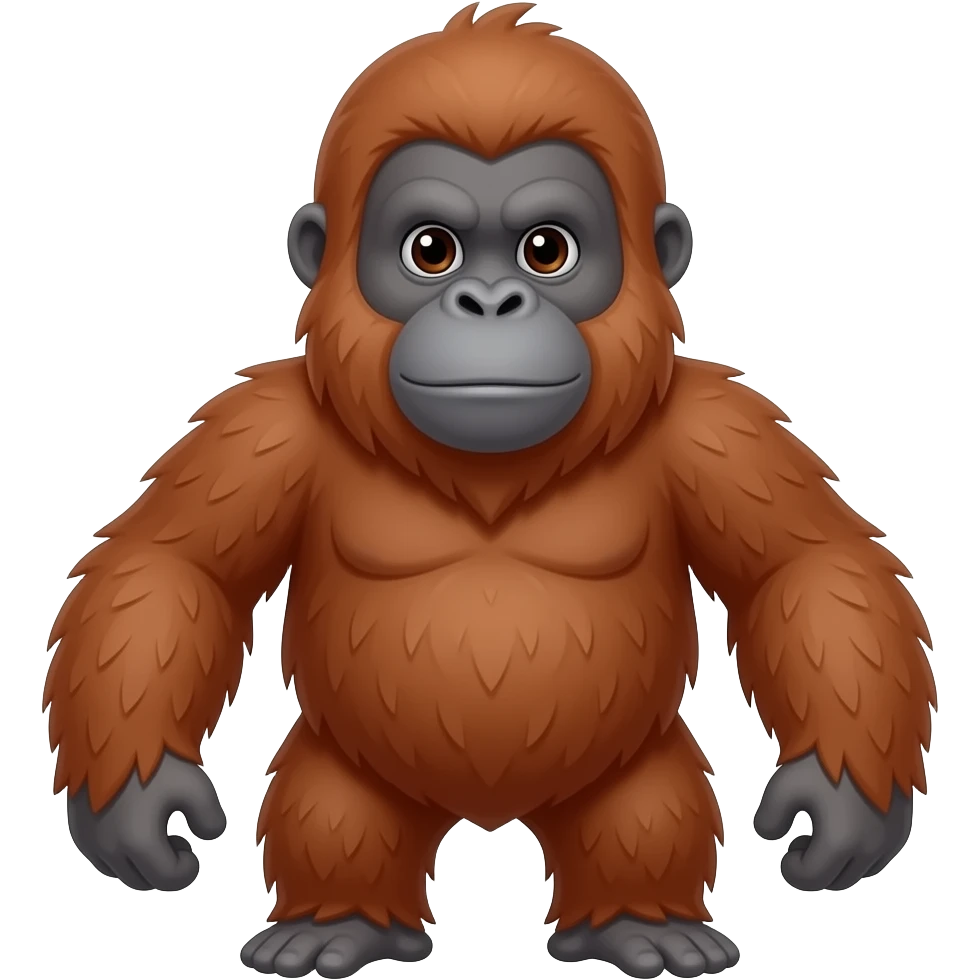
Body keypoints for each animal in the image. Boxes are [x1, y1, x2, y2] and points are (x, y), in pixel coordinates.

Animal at [41, 4, 936, 979]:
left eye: (548, 249)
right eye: (431, 249)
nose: (490, 300)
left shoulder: (714, 425)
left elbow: (803, 569)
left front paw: (844, 796)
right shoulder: (266, 425)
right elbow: (176, 568)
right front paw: (135, 795)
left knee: (643, 807)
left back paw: (637, 922)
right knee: (336, 806)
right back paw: (342, 923)